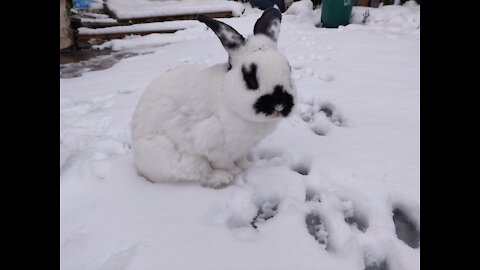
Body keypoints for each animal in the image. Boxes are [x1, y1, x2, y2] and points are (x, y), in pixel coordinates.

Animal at [131, 7, 296, 188]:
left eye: (289, 70)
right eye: (250, 78)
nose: (279, 105)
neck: (226, 96)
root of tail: (140, 164)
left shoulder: (242, 149)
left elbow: (242, 159)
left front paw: (249, 166)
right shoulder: (214, 146)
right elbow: (225, 163)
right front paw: (235, 172)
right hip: (182, 160)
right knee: (202, 173)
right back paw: (222, 178)